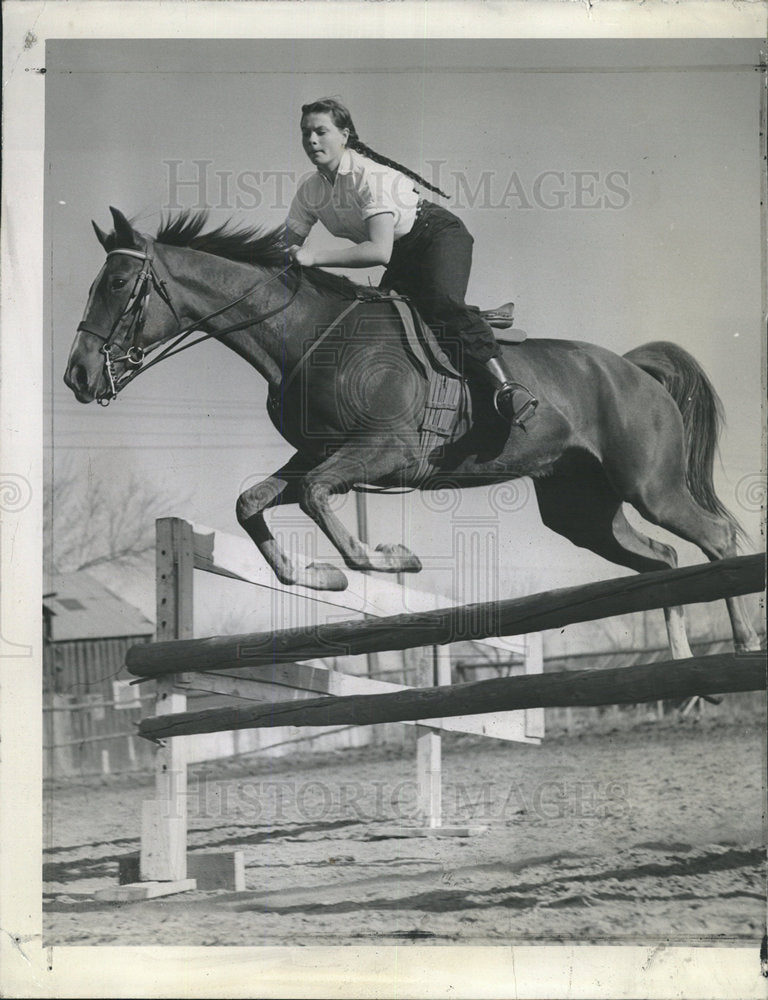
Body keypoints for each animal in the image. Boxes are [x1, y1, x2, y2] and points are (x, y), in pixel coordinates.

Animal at [66, 208, 760, 656]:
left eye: (119, 284)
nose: (76, 376)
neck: (303, 336)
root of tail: (635, 371)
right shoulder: (318, 454)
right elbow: (253, 501)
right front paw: (322, 577)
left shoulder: (380, 453)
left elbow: (317, 499)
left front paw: (389, 558)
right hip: (581, 509)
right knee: (661, 560)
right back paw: (682, 665)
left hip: (652, 486)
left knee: (717, 538)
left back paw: (745, 638)